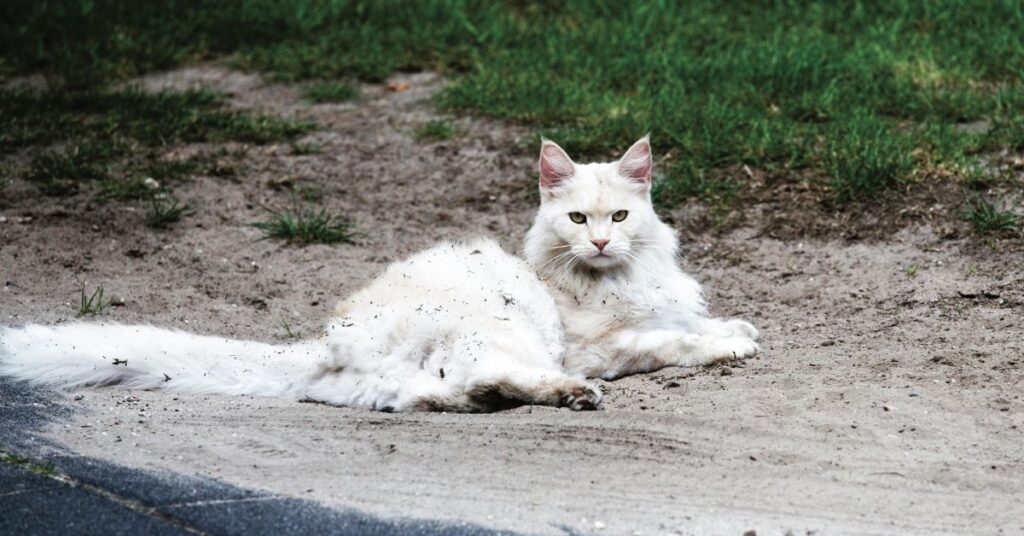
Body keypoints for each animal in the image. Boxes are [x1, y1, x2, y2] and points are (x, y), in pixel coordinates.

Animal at [0, 136, 753, 414]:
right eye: (576, 218)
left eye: (620, 215)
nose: (598, 241)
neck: (616, 277)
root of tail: (322, 346)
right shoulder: (601, 344)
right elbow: (670, 341)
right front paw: (735, 341)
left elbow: (684, 322)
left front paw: (729, 327)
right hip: (506, 328)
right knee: (482, 379)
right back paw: (572, 395)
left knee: (440, 396)